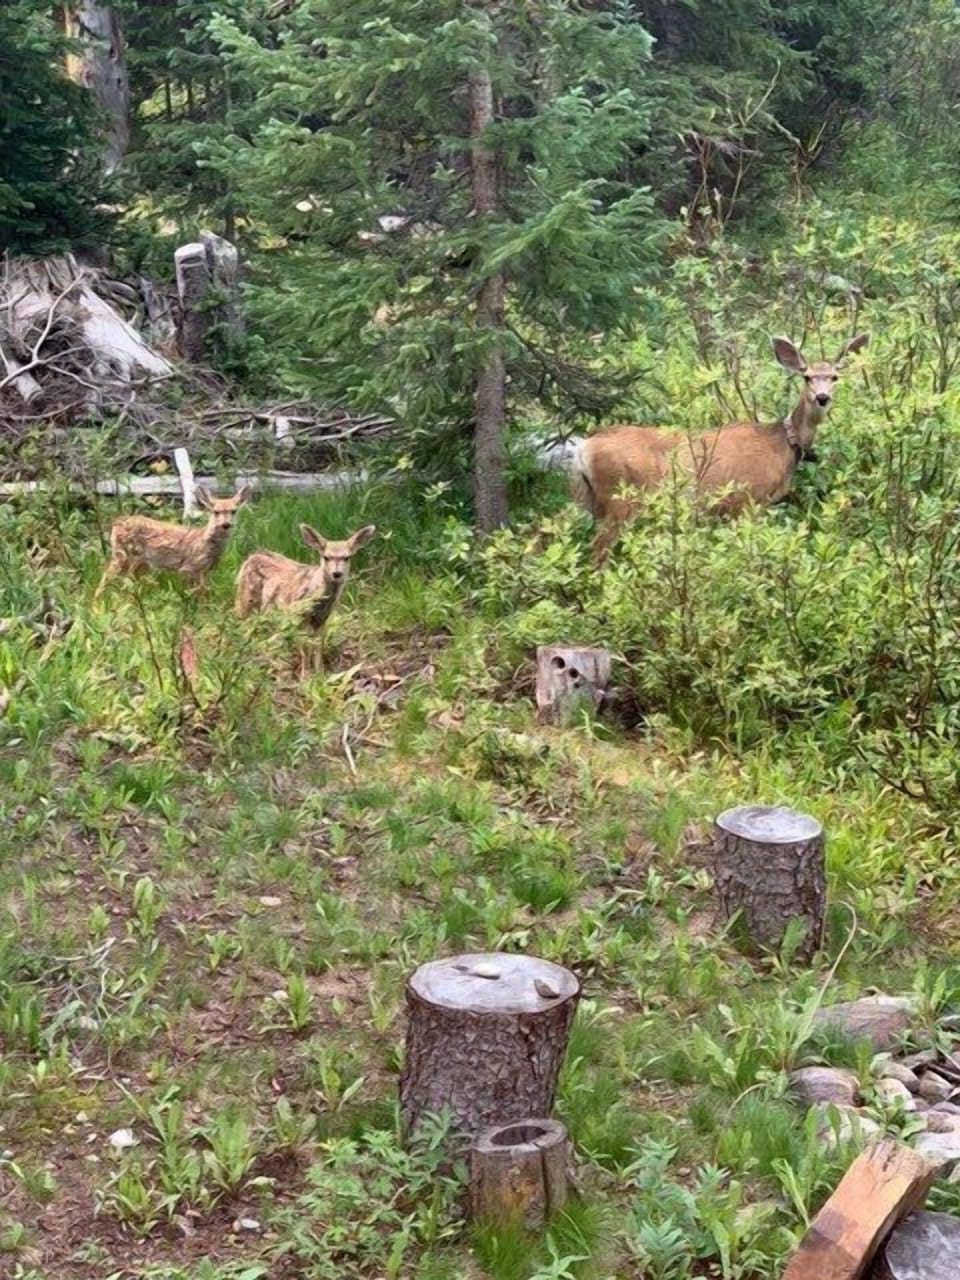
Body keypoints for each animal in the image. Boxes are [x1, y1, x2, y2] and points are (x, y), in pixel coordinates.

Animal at [94, 484, 252, 600]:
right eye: (216, 512)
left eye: (234, 511)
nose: (226, 525)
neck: (207, 543)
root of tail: (117, 522)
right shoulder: (189, 567)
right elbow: (195, 592)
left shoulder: (206, 571)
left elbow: (205, 590)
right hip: (123, 554)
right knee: (105, 579)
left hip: (140, 563)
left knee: (127, 583)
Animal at [235, 523, 376, 673]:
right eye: (325, 557)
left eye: (347, 557)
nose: (337, 574)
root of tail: (250, 557)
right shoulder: (297, 614)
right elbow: (305, 649)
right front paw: (306, 676)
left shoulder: (322, 619)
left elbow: (318, 646)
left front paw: (320, 673)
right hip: (246, 601)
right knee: (243, 630)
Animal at [571, 333, 869, 561]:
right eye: (807, 377)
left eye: (834, 377)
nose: (822, 398)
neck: (781, 446)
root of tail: (584, 447)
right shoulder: (748, 499)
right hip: (621, 500)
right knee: (598, 549)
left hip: (586, 499)